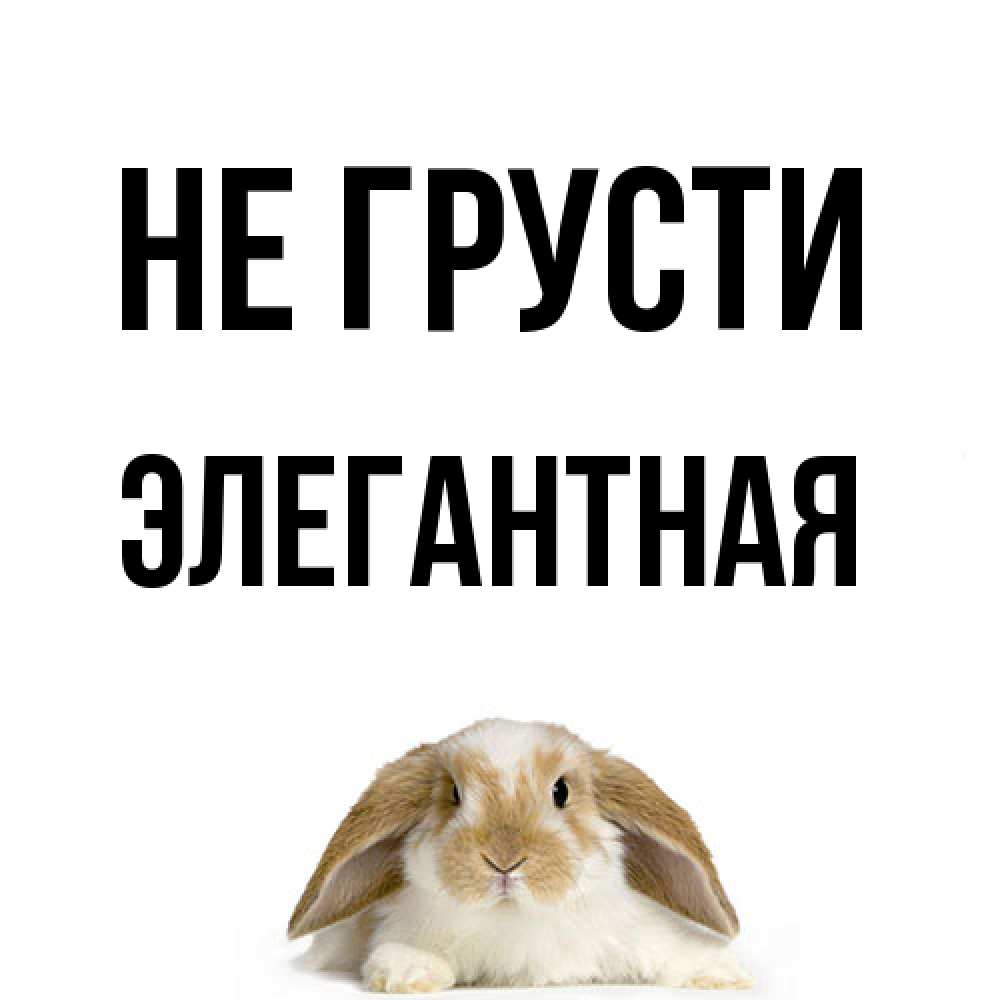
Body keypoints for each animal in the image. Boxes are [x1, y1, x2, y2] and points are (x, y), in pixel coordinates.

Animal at [288, 719, 751, 991]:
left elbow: (673, 950)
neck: (516, 918)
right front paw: (409, 972)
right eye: (454, 794)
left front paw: (723, 973)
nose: (504, 860)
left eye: (561, 791)